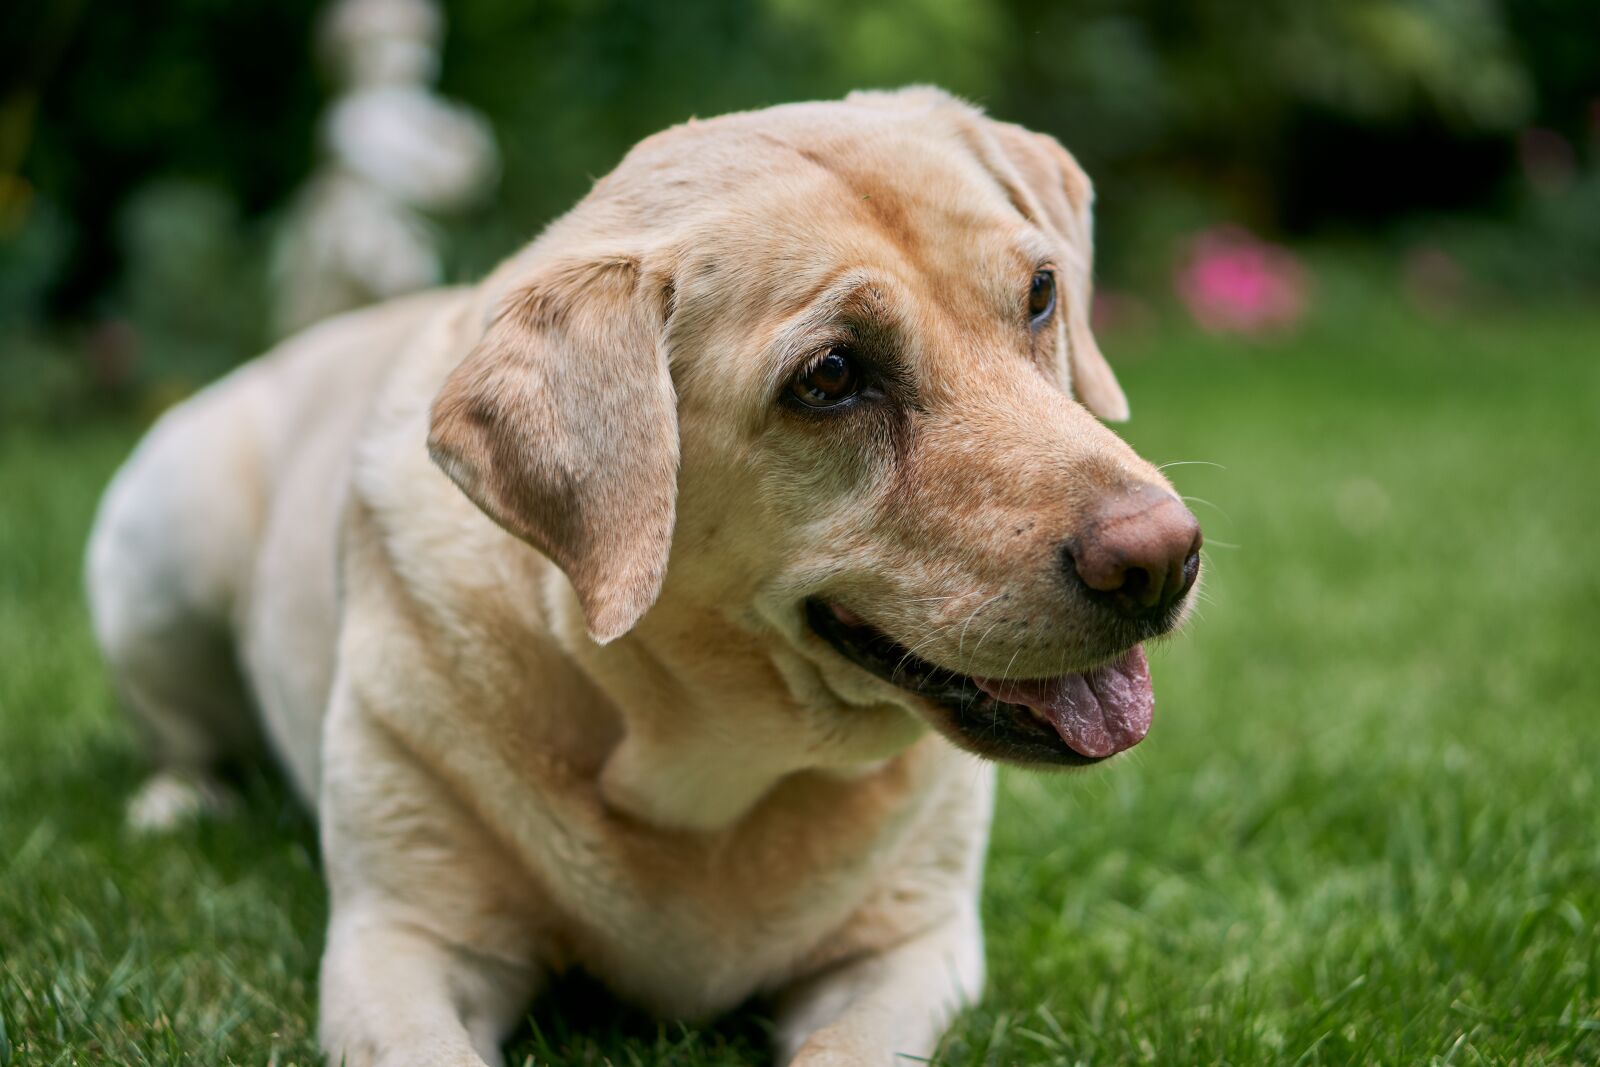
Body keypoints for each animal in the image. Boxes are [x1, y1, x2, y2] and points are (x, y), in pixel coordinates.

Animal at [81, 87, 1196, 1062]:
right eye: (831, 376)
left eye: (1041, 294)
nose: (1162, 558)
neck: (706, 776)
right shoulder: (399, 942)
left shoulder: (911, 948)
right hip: (163, 550)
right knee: (177, 731)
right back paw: (175, 806)